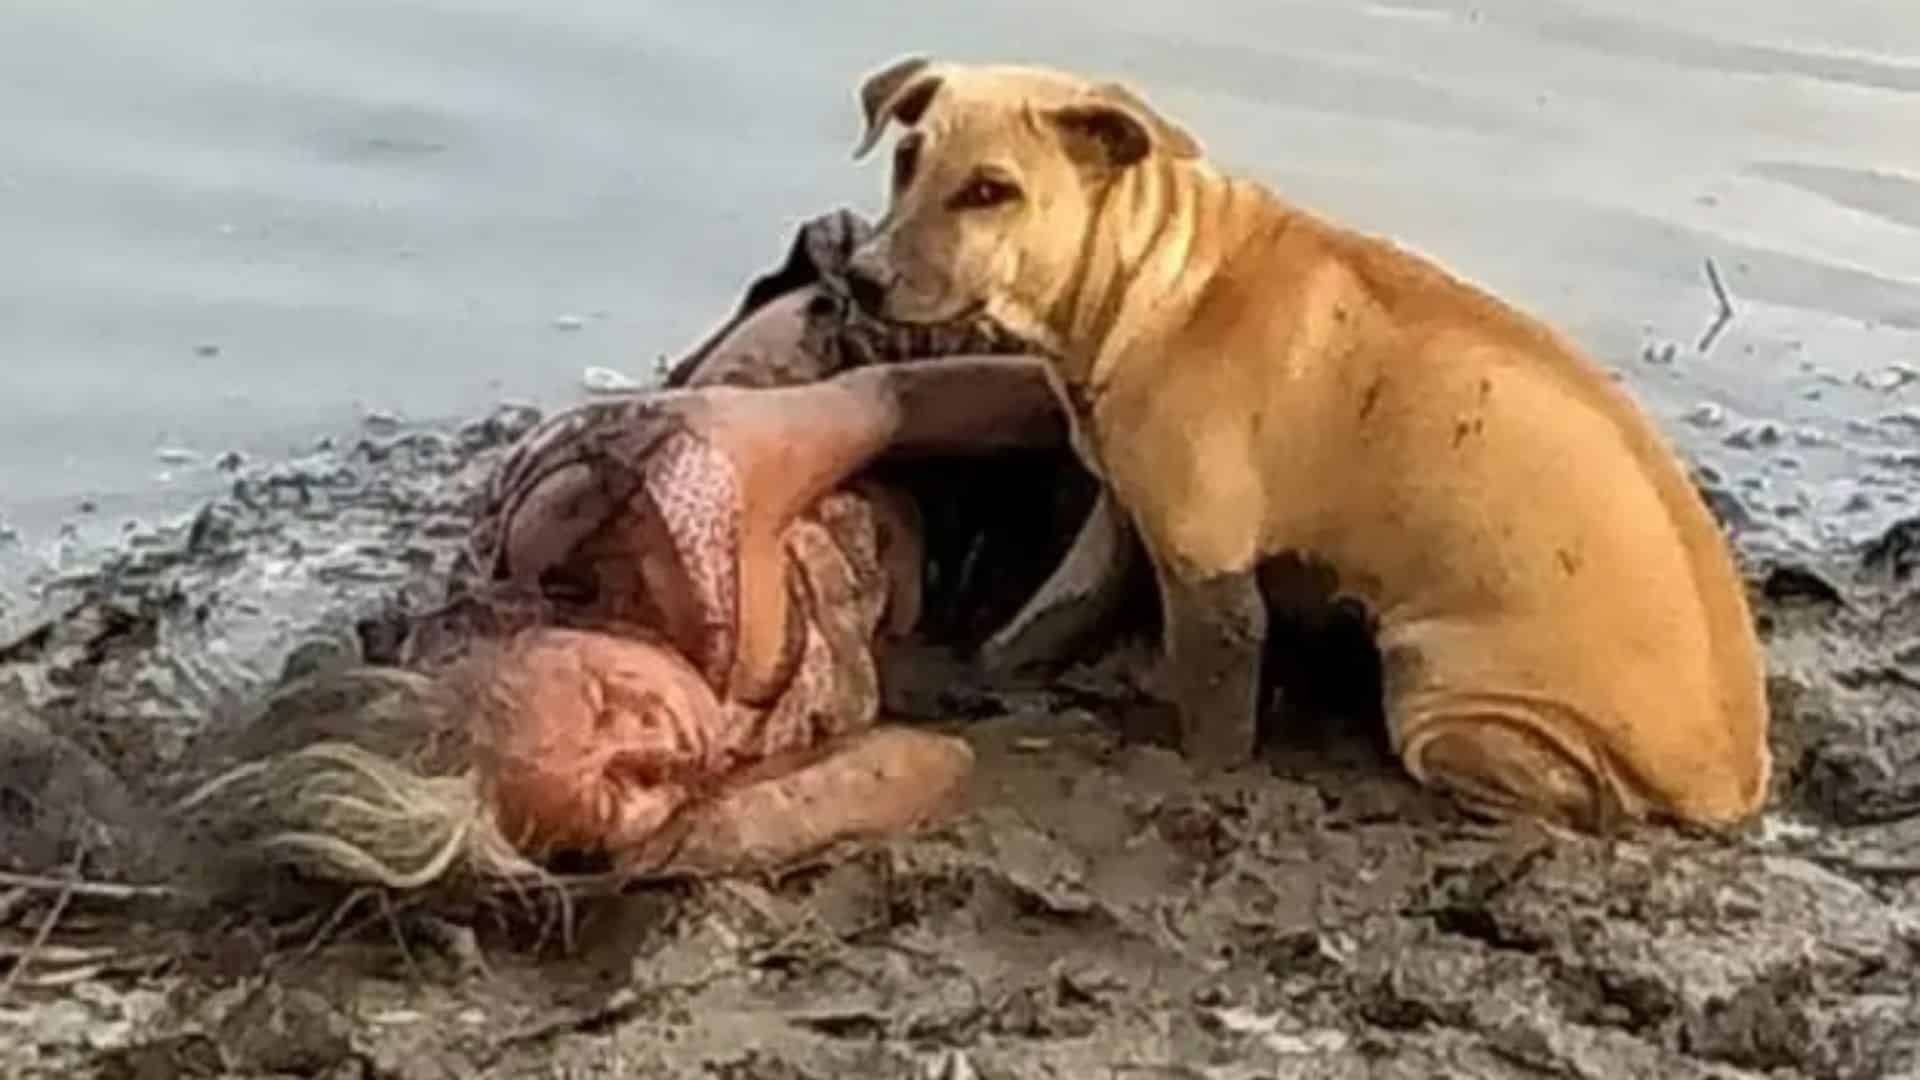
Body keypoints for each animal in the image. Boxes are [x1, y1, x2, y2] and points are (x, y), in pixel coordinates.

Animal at [840, 54, 1766, 822]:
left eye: (991, 191)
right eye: (905, 160)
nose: (861, 277)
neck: (1159, 281)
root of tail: (1733, 783)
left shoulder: (1212, 578)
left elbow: (1214, 722)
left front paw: (1192, 773)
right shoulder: (1121, 518)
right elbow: (1045, 618)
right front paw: (979, 672)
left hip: (1446, 697)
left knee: (1575, 797)